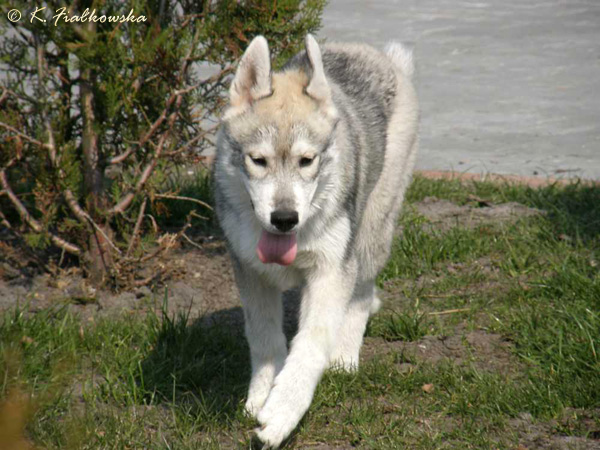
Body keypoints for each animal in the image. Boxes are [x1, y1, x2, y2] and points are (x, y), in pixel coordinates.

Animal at [213, 34, 418, 448]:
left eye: (307, 161)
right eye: (258, 160)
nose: (284, 218)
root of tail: (384, 56)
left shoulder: (331, 271)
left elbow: (310, 344)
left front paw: (281, 414)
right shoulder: (250, 274)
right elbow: (265, 340)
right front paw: (260, 398)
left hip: (371, 233)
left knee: (360, 295)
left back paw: (344, 358)